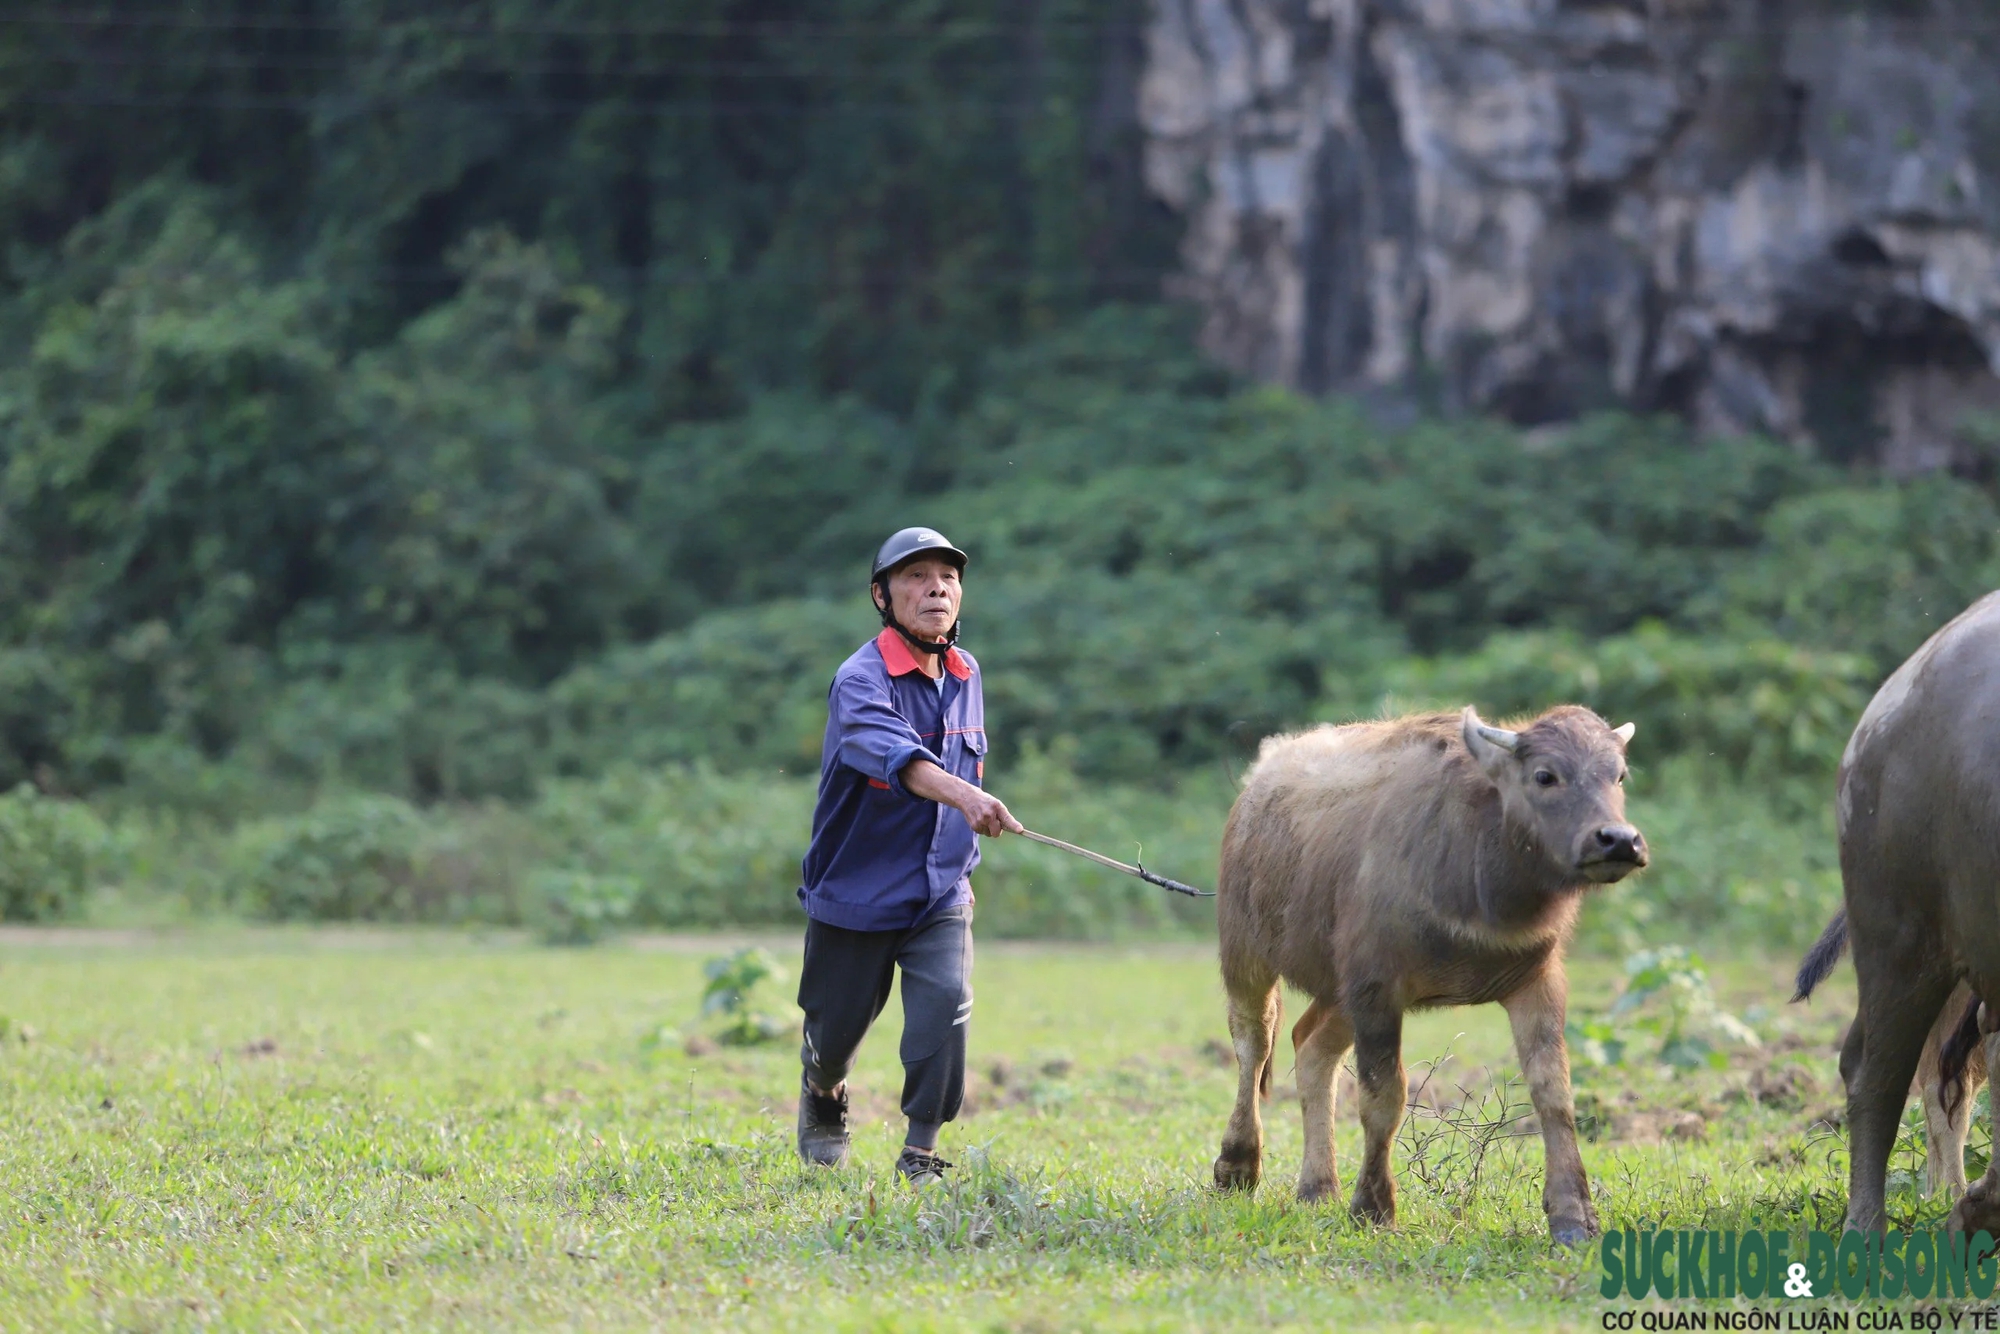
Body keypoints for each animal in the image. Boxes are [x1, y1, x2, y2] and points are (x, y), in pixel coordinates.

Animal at [1208, 704, 1648, 1248]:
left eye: (1618, 774)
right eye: (1545, 775)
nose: (1618, 840)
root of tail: (1257, 784)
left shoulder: (1537, 981)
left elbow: (1554, 1092)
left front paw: (1574, 1217)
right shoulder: (1377, 987)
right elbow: (1384, 1097)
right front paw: (1373, 1208)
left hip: (1338, 988)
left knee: (1310, 1047)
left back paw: (1319, 1187)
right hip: (1245, 952)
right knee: (1254, 1042)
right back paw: (1237, 1166)